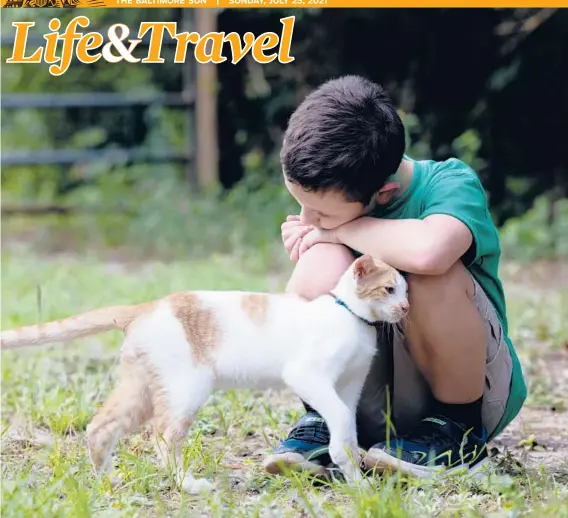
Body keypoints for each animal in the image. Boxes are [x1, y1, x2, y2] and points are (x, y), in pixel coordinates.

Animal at [0, 256, 408, 496]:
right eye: (389, 289)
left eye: (406, 291)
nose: (405, 308)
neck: (352, 316)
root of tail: (148, 306)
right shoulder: (308, 375)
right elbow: (338, 418)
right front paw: (349, 470)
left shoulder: (349, 386)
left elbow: (347, 426)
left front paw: (356, 479)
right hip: (185, 390)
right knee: (163, 437)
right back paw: (188, 485)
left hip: (142, 389)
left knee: (100, 425)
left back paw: (109, 481)